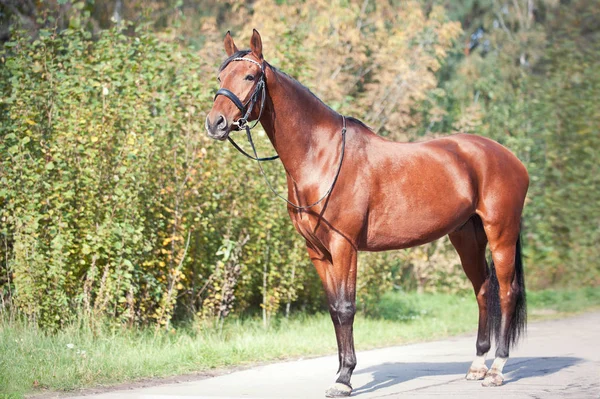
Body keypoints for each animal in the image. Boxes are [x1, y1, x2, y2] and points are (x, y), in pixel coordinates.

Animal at [207, 30, 528, 396]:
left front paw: (344, 378)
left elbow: (347, 308)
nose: (214, 123)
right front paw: (340, 371)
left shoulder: (345, 246)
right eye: (220, 77)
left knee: (506, 292)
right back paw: (477, 366)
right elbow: (334, 309)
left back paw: (496, 370)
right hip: (467, 237)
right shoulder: (318, 251)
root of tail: (509, 158)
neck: (323, 155)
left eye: (250, 76)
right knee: (484, 290)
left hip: (501, 233)